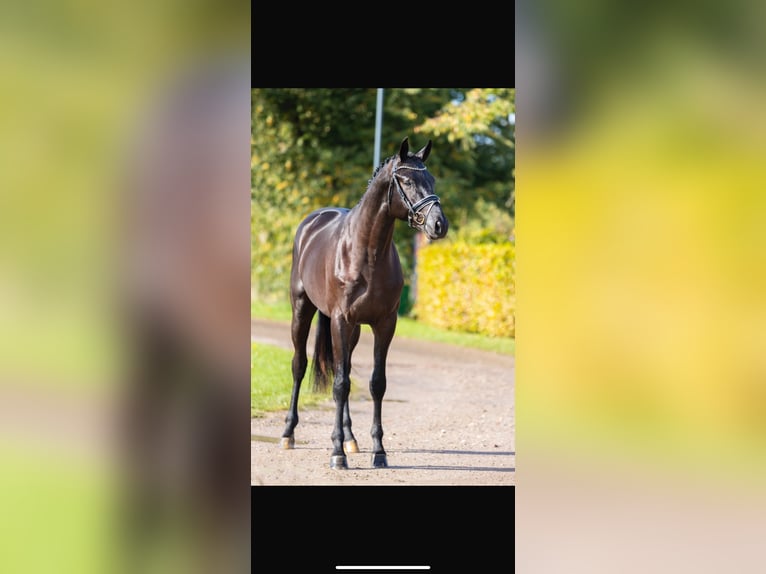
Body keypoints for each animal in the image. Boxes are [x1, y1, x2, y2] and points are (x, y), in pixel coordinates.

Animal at [280, 137, 449, 469]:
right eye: (407, 181)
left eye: (433, 179)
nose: (439, 224)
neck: (366, 253)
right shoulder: (340, 321)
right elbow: (340, 384)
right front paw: (336, 454)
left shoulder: (384, 324)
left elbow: (375, 383)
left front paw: (377, 451)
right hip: (302, 311)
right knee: (299, 365)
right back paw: (289, 434)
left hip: (354, 330)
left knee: (343, 368)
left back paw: (351, 439)